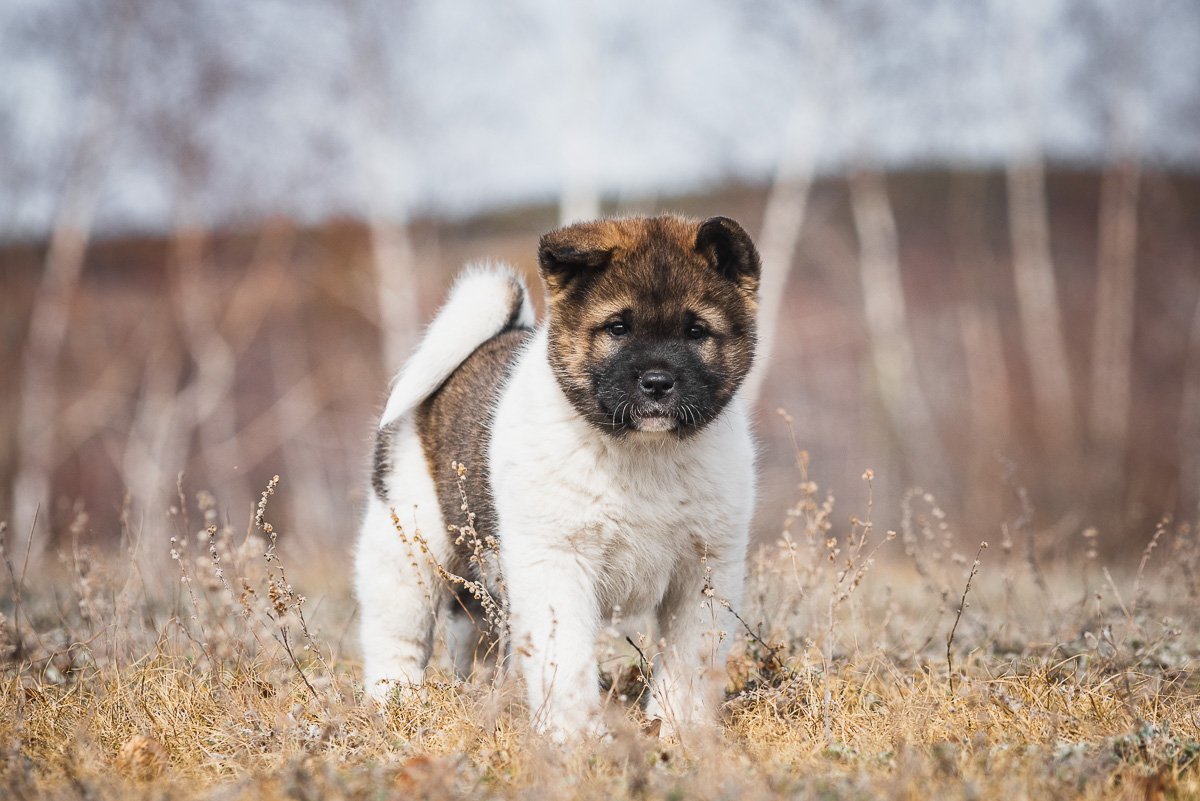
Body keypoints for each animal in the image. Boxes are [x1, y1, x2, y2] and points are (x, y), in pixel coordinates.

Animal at [355, 214, 758, 738]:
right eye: (618, 327)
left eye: (696, 331)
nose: (657, 383)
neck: (643, 455)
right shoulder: (558, 565)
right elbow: (565, 661)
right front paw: (578, 737)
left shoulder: (703, 572)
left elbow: (688, 664)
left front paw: (678, 732)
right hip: (407, 543)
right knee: (397, 633)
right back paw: (396, 700)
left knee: (472, 634)